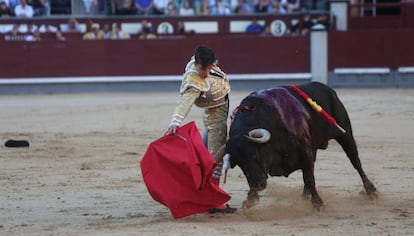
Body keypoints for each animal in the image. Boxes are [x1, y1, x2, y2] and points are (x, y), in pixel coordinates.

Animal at [217, 82, 378, 209]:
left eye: (255, 154)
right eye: (239, 163)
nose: (258, 185)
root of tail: (327, 89)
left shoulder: (305, 151)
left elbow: (309, 178)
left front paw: (318, 204)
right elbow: (308, 175)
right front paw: (250, 199)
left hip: (345, 134)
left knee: (355, 162)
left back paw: (371, 191)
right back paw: (305, 195)